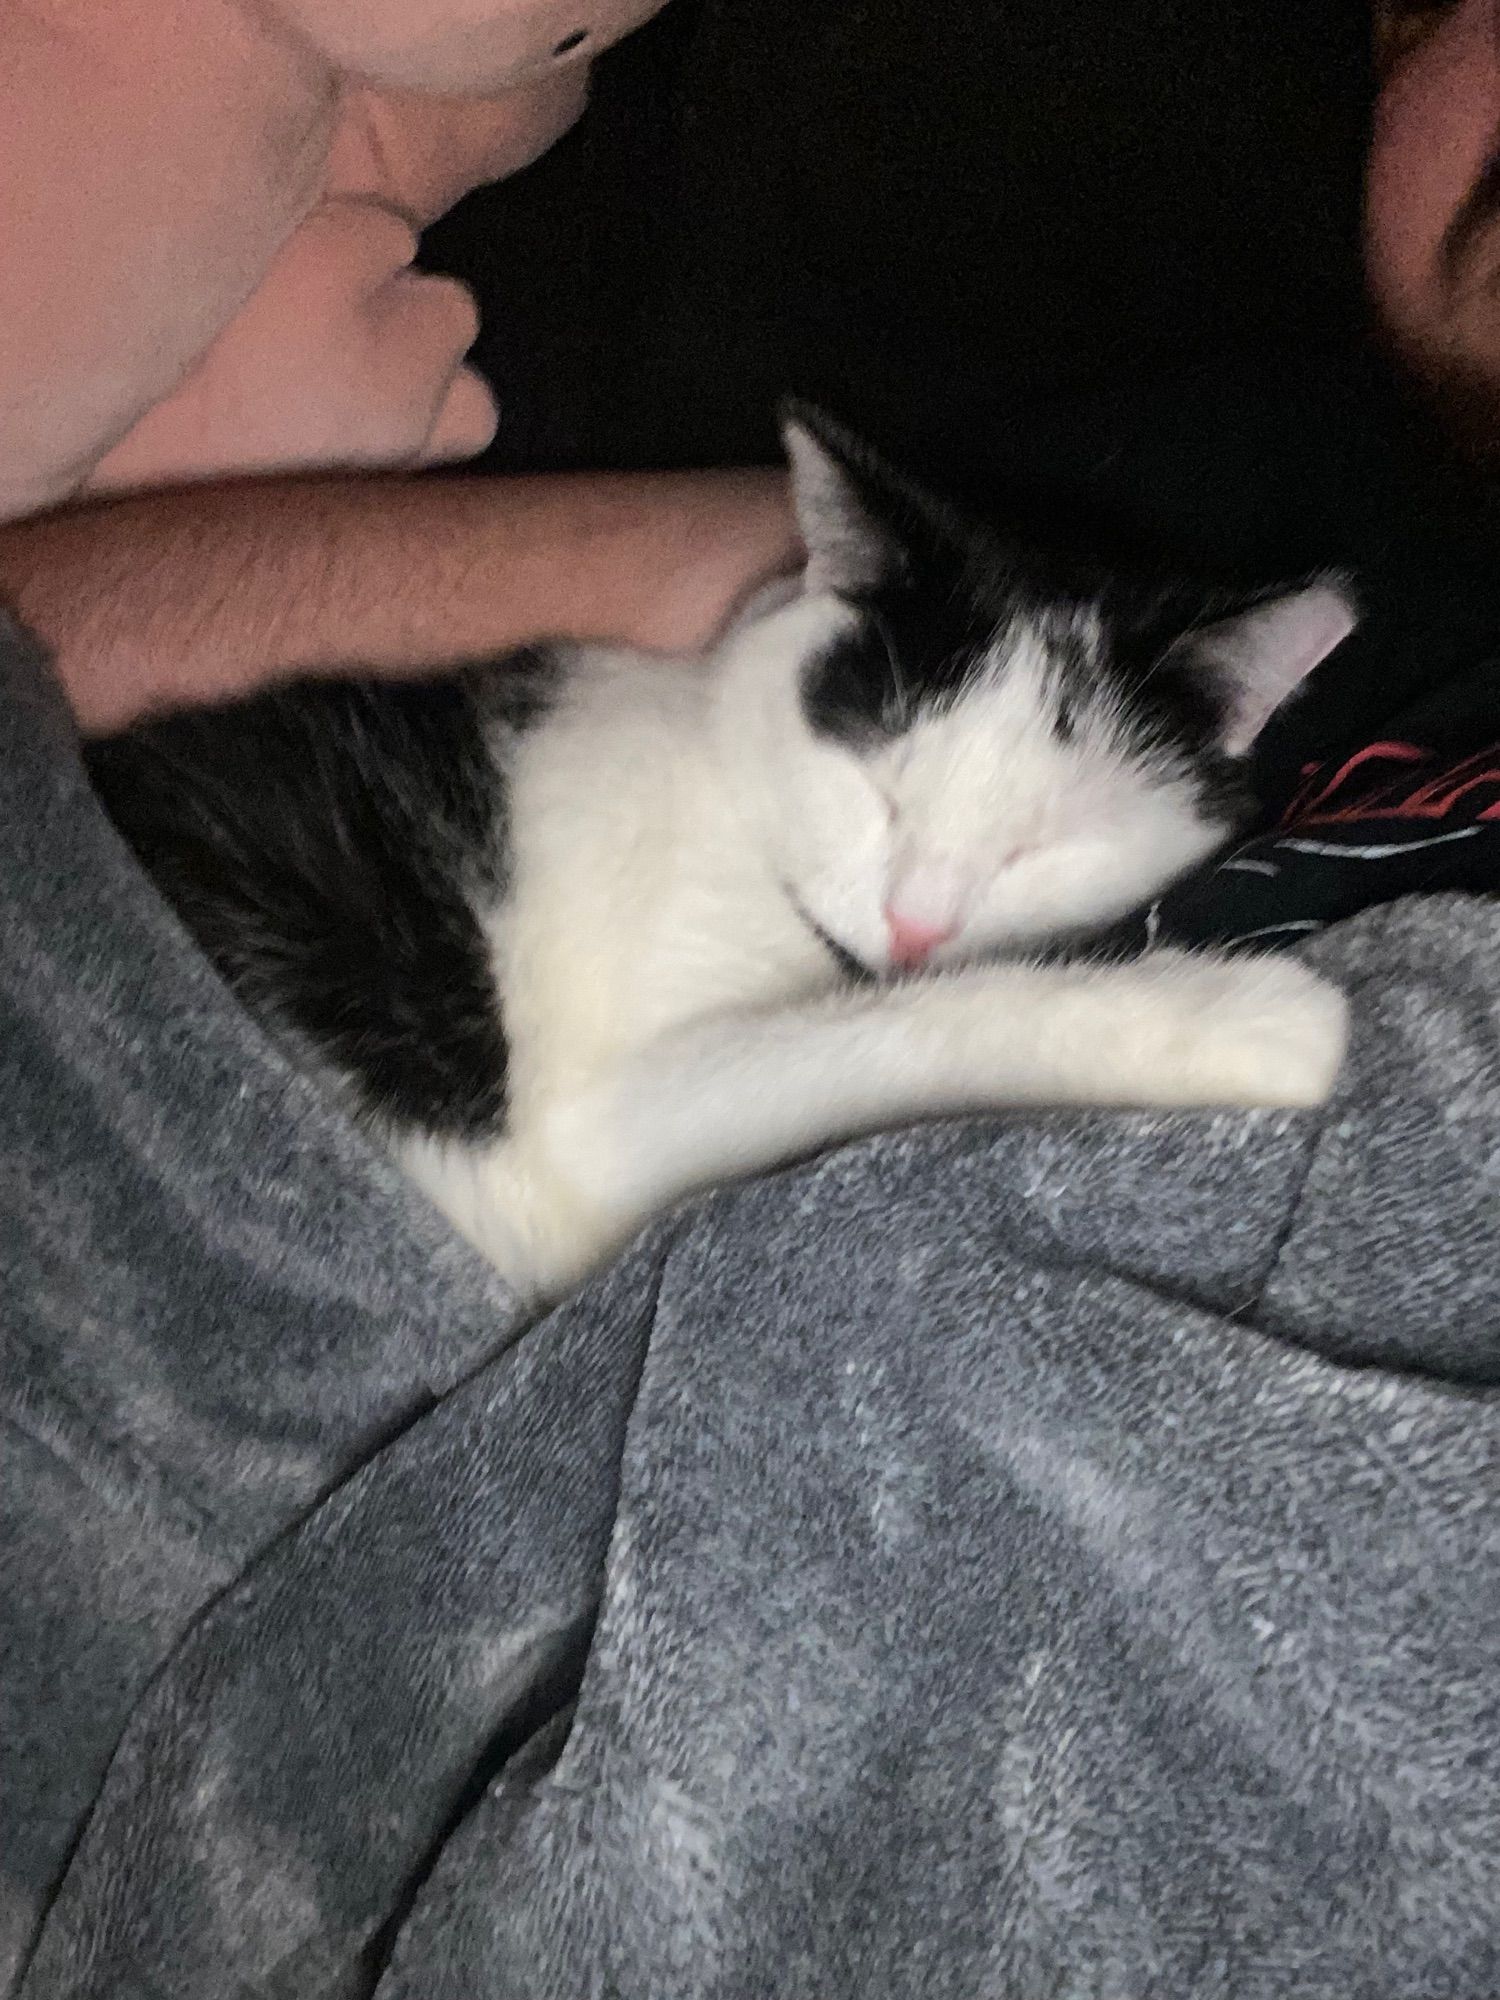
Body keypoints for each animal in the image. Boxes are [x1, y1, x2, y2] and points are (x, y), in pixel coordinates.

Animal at [88, 414, 1368, 1304]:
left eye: (1041, 842)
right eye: (880, 786)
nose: (916, 925)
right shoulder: (590, 1124)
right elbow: (909, 1026)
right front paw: (1235, 1015)